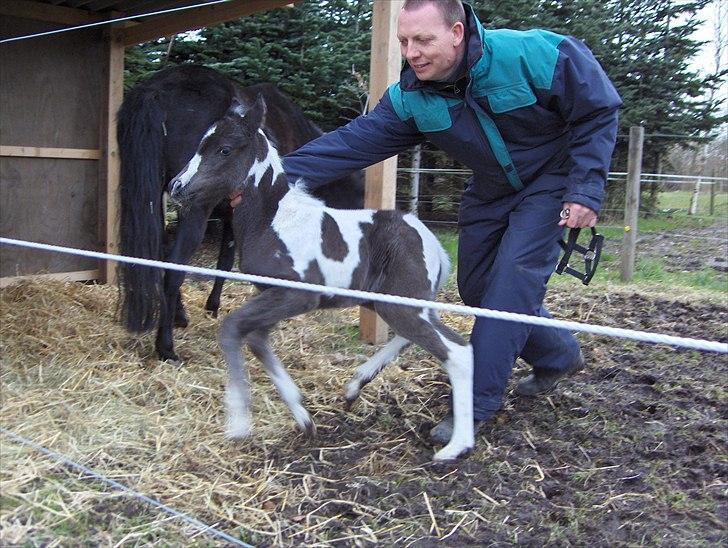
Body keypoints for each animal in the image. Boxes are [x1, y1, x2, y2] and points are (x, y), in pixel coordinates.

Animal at [171, 96, 478, 460]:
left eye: (224, 149)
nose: (176, 187)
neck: (271, 220)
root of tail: (435, 246)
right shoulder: (270, 295)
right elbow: (257, 340)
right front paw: (303, 418)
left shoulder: (295, 295)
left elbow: (232, 328)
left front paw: (239, 423)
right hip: (395, 302)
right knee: (422, 337)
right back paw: (355, 385)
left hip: (402, 303)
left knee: (456, 351)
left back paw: (456, 447)